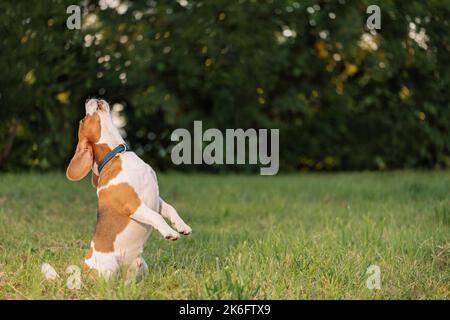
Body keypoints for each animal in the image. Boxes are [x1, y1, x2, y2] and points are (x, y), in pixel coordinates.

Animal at [65, 99, 192, 280]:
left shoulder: (156, 200)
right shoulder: (133, 204)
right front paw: (170, 232)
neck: (117, 154)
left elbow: (171, 209)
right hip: (109, 267)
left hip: (142, 265)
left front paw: (182, 226)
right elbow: (157, 217)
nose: (88, 99)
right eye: (83, 120)